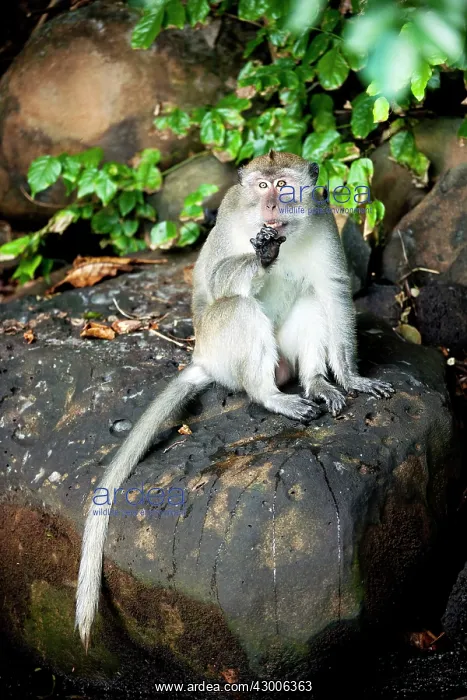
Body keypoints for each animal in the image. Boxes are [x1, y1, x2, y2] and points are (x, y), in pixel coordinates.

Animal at [76, 151, 394, 648]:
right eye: (261, 185)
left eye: (283, 184)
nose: (270, 205)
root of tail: (202, 355)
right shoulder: (228, 219)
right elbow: (220, 278)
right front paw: (261, 254)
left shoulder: (323, 221)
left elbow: (334, 292)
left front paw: (351, 378)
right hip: (222, 347)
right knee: (238, 307)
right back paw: (271, 397)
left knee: (310, 298)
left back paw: (315, 382)